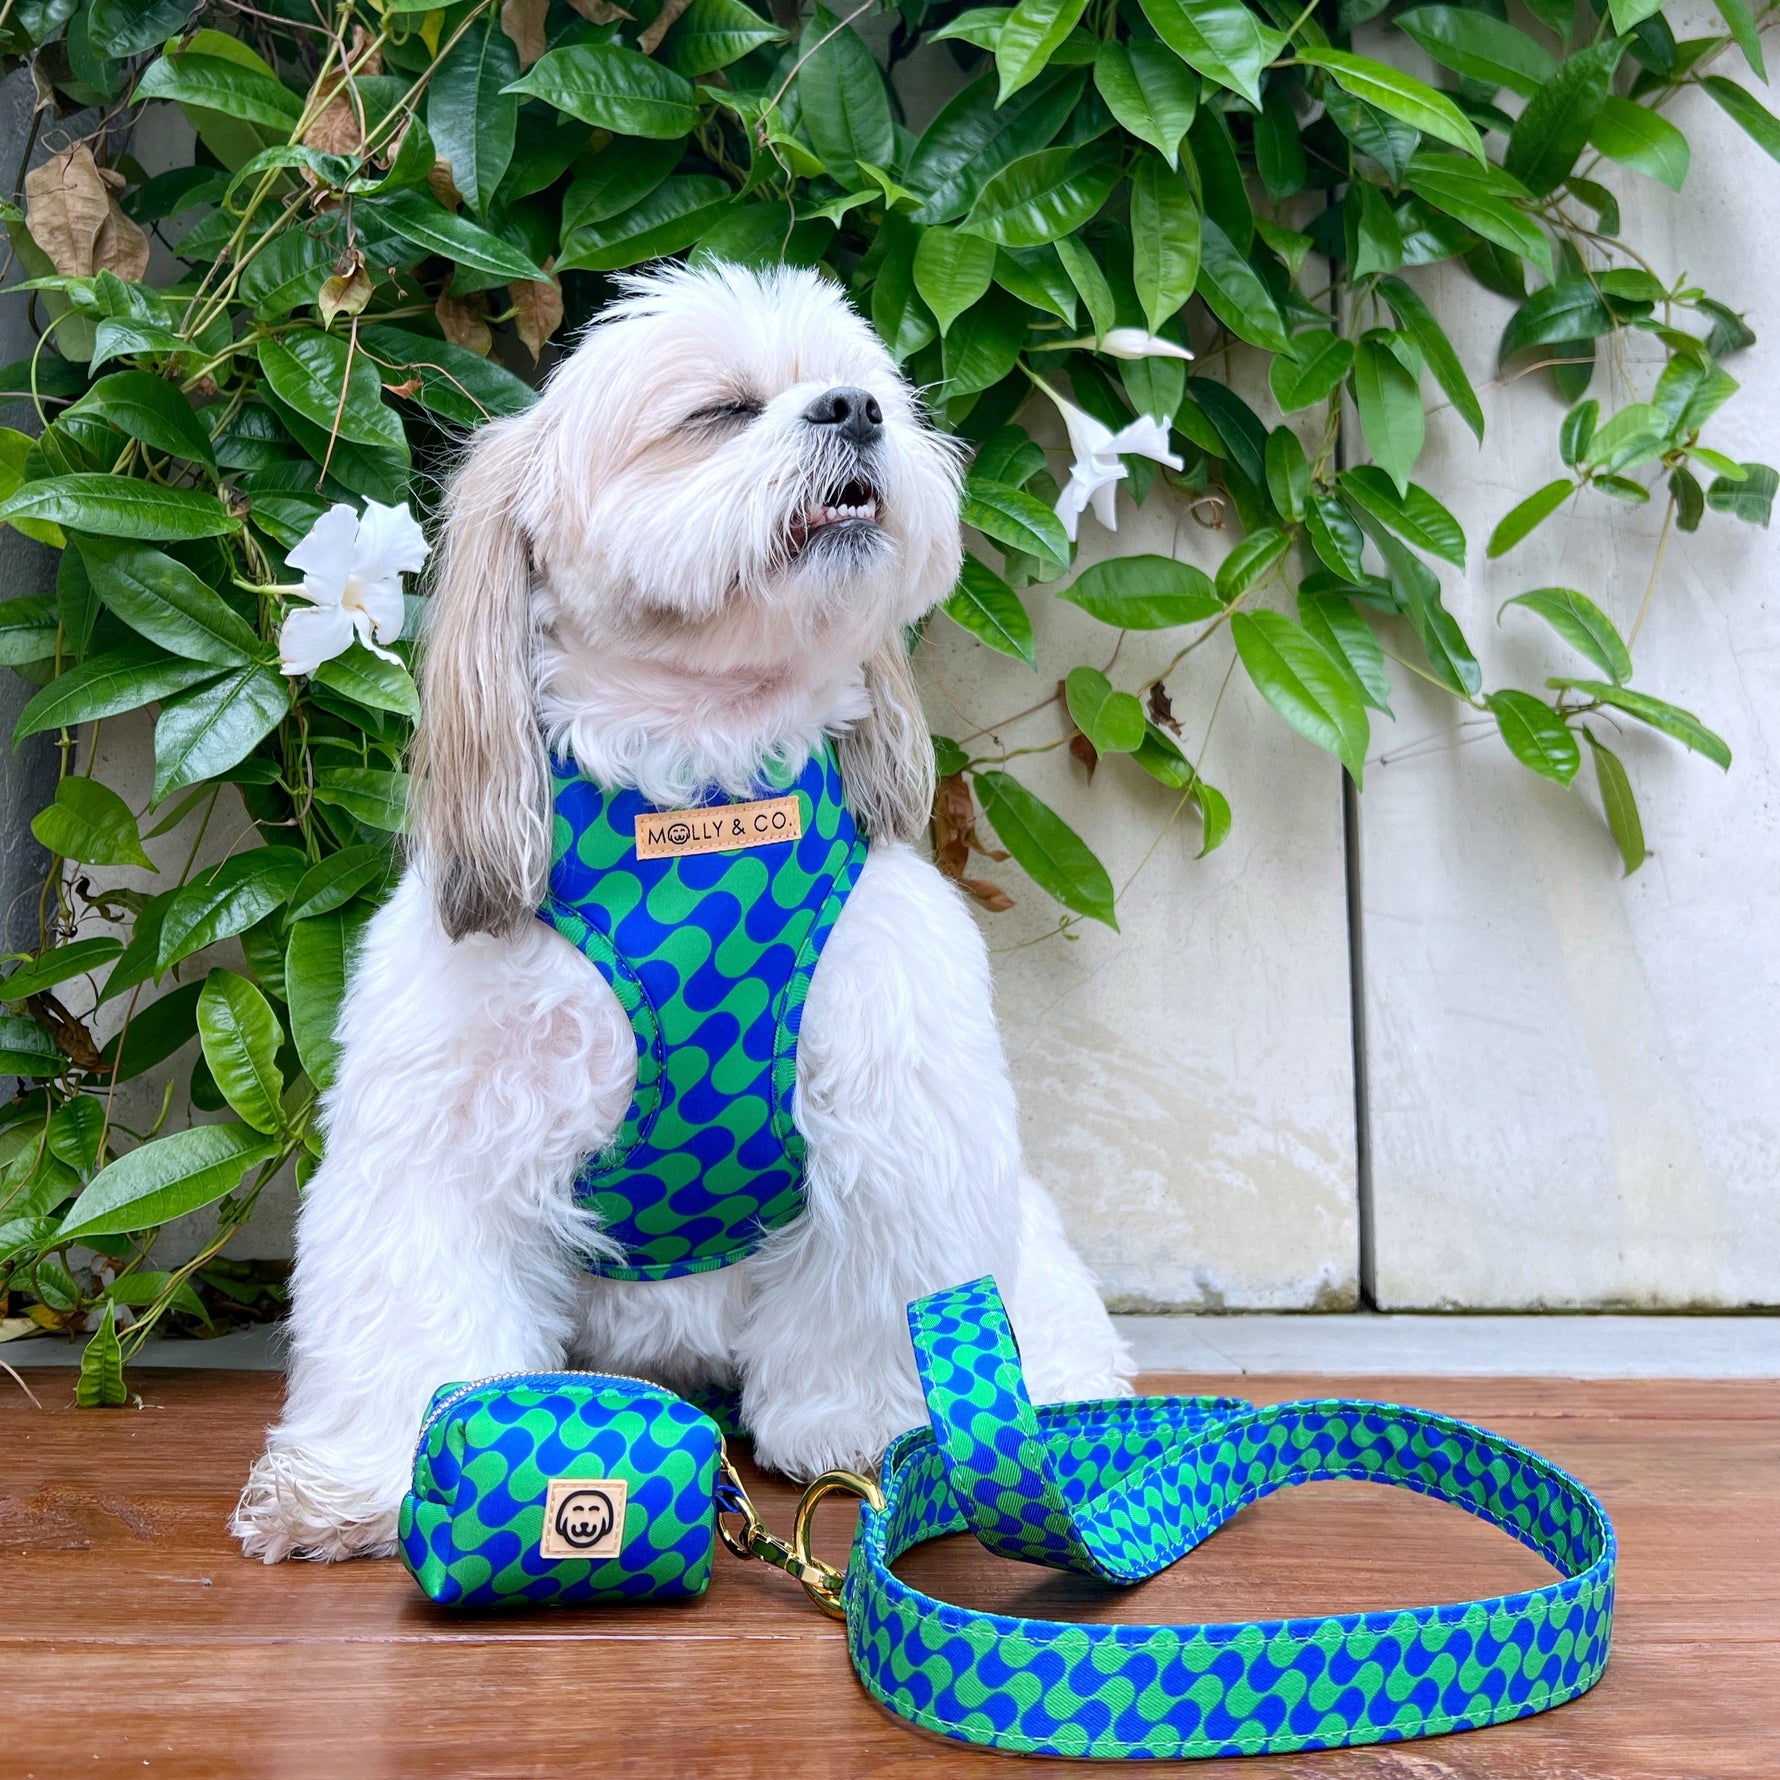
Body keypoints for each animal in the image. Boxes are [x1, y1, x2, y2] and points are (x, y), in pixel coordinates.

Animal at [233, 261, 1131, 1563]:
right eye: (717, 411)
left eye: (863, 386)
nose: (853, 409)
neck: (701, 789)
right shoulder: (443, 1142)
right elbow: (418, 1312)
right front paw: (359, 1483)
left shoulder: (888, 1118)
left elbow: (870, 1301)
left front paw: (864, 1434)